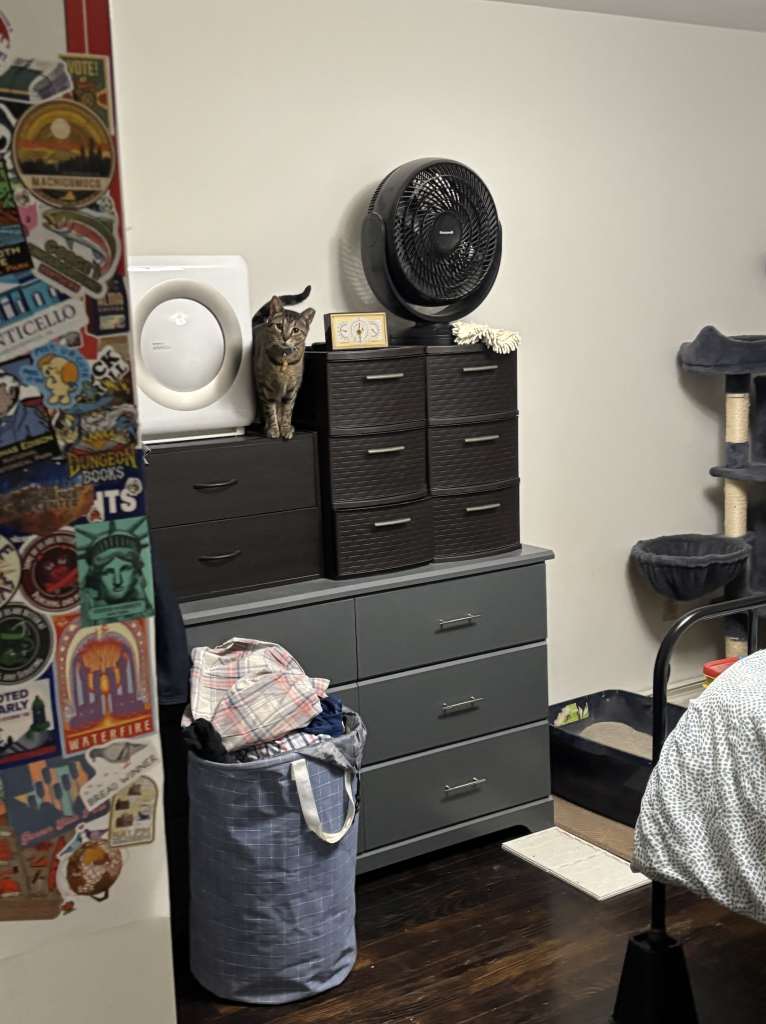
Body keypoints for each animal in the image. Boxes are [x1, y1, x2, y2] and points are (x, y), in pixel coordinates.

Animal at [252, 286, 314, 440]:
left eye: (296, 330)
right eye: (279, 326)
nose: (285, 338)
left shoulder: (292, 389)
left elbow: (287, 411)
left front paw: (285, 428)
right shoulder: (266, 387)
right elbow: (270, 410)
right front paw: (274, 429)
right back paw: (266, 426)